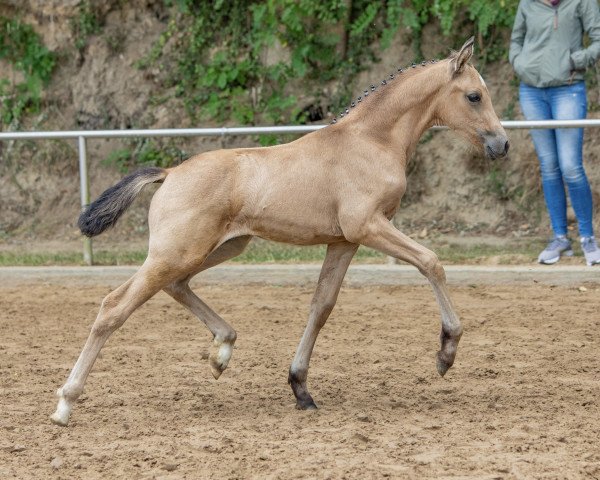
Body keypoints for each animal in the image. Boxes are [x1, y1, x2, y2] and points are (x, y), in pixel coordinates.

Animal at [54, 39, 508, 426]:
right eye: (474, 95)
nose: (501, 145)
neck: (371, 141)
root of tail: (169, 174)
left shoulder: (344, 241)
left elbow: (322, 306)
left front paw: (300, 388)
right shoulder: (368, 226)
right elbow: (431, 262)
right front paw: (446, 352)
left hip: (218, 248)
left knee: (175, 286)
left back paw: (222, 351)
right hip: (178, 252)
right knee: (114, 307)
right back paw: (65, 404)